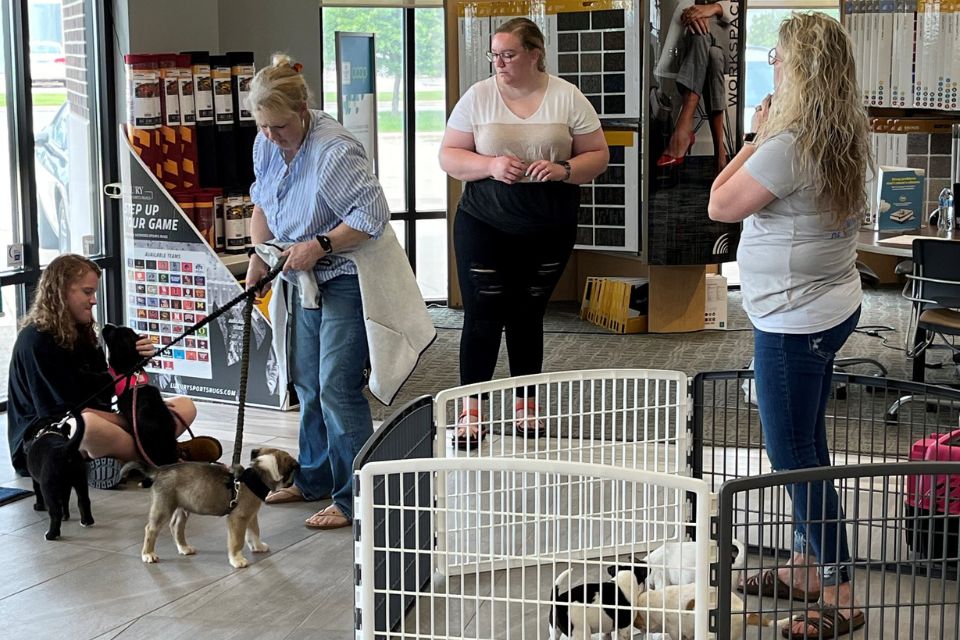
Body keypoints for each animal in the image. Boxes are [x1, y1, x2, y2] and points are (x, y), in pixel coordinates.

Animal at [124, 448, 298, 568]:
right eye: (292, 471)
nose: (292, 483)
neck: (257, 475)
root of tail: (159, 470)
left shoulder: (250, 514)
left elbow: (254, 532)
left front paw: (258, 546)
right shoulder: (238, 518)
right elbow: (237, 541)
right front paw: (237, 559)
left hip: (182, 509)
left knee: (175, 526)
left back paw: (184, 548)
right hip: (163, 508)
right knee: (150, 529)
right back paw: (148, 554)